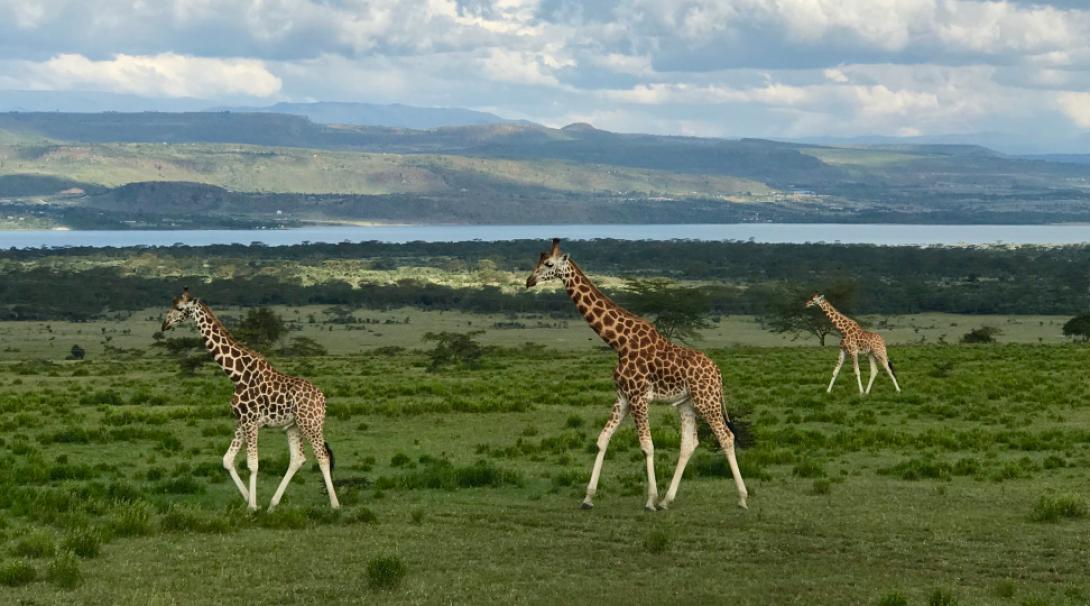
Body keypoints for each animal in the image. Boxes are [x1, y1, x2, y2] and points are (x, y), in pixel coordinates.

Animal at [161, 287, 337, 512]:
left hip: (311, 423)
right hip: (293, 426)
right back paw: (272, 504)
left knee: (323, 457)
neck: (237, 374)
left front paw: (252, 506)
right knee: (298, 459)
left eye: (179, 308)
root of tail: (322, 399)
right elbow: (227, 460)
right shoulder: (241, 421)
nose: (164, 325)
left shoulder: (251, 421)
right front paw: (248, 499)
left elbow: (253, 464)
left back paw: (335, 505)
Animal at [527, 238, 749, 507]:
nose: (529, 281)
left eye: (548, 264)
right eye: (537, 261)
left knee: (726, 436)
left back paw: (742, 498)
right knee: (690, 443)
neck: (619, 342)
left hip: (707, 400)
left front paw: (650, 500)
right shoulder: (623, 397)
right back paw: (667, 500)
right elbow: (602, 440)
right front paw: (588, 498)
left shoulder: (638, 397)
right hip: (687, 403)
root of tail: (717, 372)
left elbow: (647, 446)